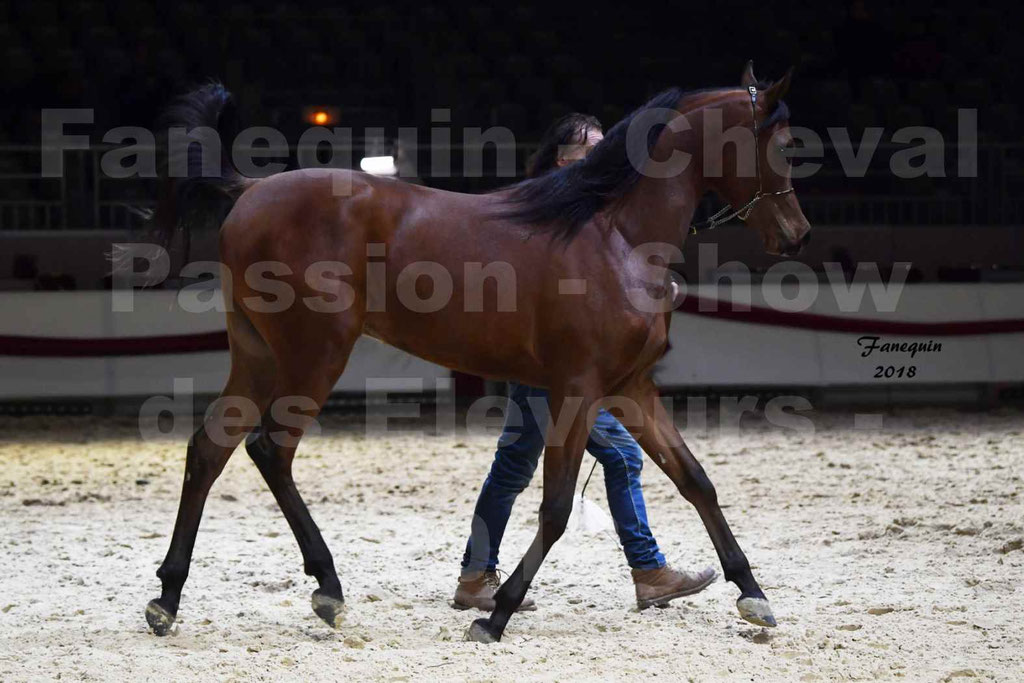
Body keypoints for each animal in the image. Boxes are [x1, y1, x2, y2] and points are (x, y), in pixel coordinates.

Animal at [141, 62, 811, 643]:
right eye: (779, 144)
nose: (797, 233)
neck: (613, 235)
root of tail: (252, 189)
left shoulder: (631, 387)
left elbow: (695, 480)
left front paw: (753, 596)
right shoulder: (579, 390)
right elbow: (556, 509)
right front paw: (497, 615)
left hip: (258, 356)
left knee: (210, 450)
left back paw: (168, 598)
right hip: (314, 355)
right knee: (269, 451)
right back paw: (327, 589)